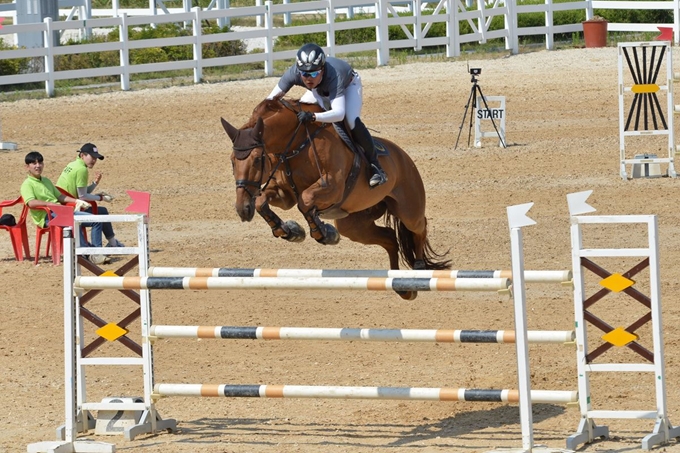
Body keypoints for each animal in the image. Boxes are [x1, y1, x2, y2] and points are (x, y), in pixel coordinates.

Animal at [220, 97, 448, 298]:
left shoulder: (332, 186)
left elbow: (305, 201)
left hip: (408, 210)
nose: (242, 209)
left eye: (257, 159)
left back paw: (419, 269)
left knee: (419, 228)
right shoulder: (284, 195)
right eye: (232, 161)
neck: (296, 143)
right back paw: (402, 286)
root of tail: (403, 156)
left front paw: (324, 233)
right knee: (391, 239)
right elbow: (263, 202)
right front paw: (289, 231)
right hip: (355, 226)